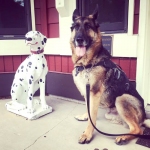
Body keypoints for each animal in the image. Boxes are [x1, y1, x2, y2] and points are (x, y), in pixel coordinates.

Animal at [70, 6, 150, 145]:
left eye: (88, 26)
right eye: (76, 27)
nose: (79, 40)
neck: (87, 62)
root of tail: (144, 117)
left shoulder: (94, 93)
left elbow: (92, 117)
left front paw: (87, 134)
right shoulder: (87, 93)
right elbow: (89, 111)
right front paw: (85, 116)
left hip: (121, 99)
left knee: (138, 129)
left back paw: (123, 137)